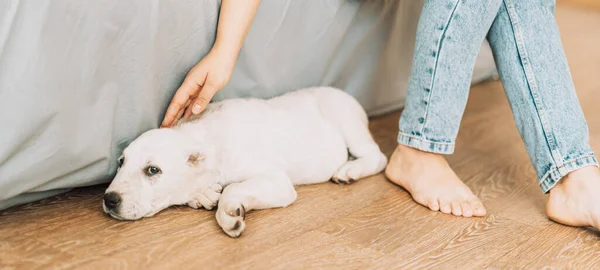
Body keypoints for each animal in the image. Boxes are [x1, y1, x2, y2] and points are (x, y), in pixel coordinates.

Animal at [103, 86, 386, 236]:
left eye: (153, 170)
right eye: (121, 162)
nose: (109, 199)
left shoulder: (277, 181)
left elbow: (233, 187)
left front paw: (228, 213)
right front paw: (203, 195)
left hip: (346, 121)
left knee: (378, 157)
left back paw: (350, 169)